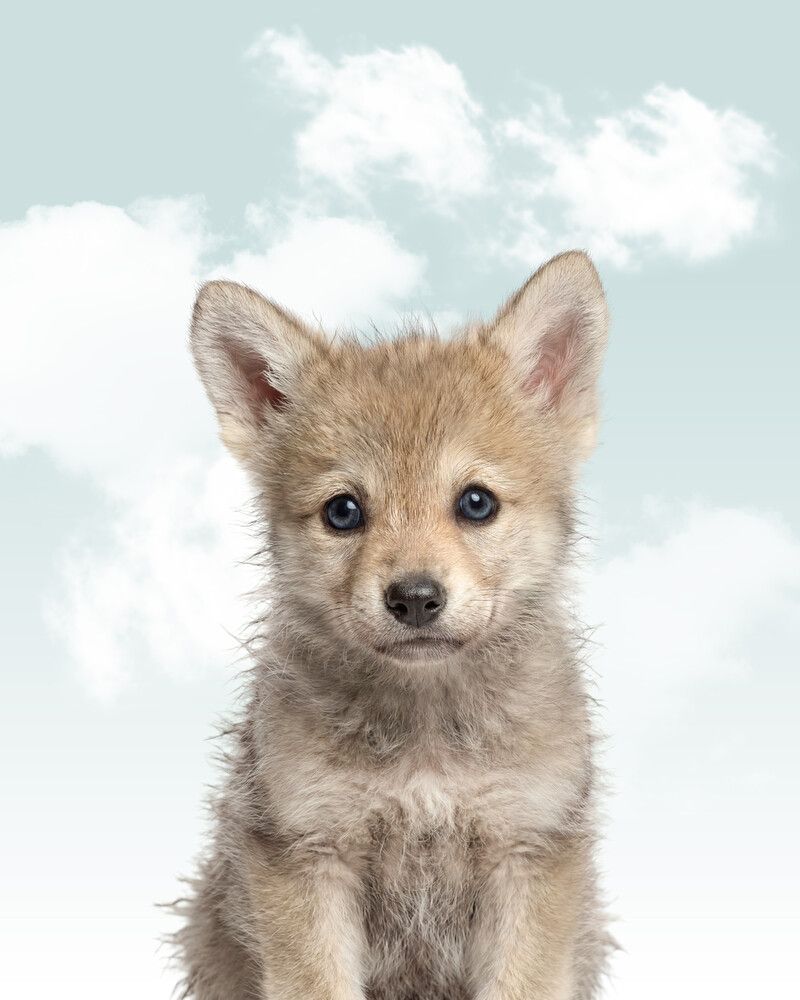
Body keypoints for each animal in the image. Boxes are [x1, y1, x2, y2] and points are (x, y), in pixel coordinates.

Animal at [173, 250, 613, 999]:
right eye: (343, 512)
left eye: (475, 503)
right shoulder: (307, 854)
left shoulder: (528, 850)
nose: (414, 598)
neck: (426, 742)